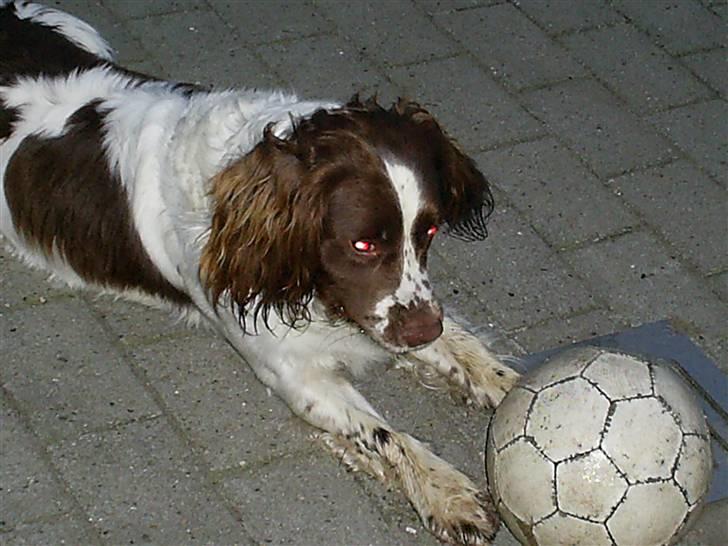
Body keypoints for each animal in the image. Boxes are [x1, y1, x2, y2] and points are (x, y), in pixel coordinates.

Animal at [1, 2, 524, 540]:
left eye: (430, 230)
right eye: (362, 244)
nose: (421, 331)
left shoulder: (397, 312)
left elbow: (467, 349)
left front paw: (513, 393)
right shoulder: (296, 371)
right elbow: (385, 434)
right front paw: (446, 492)